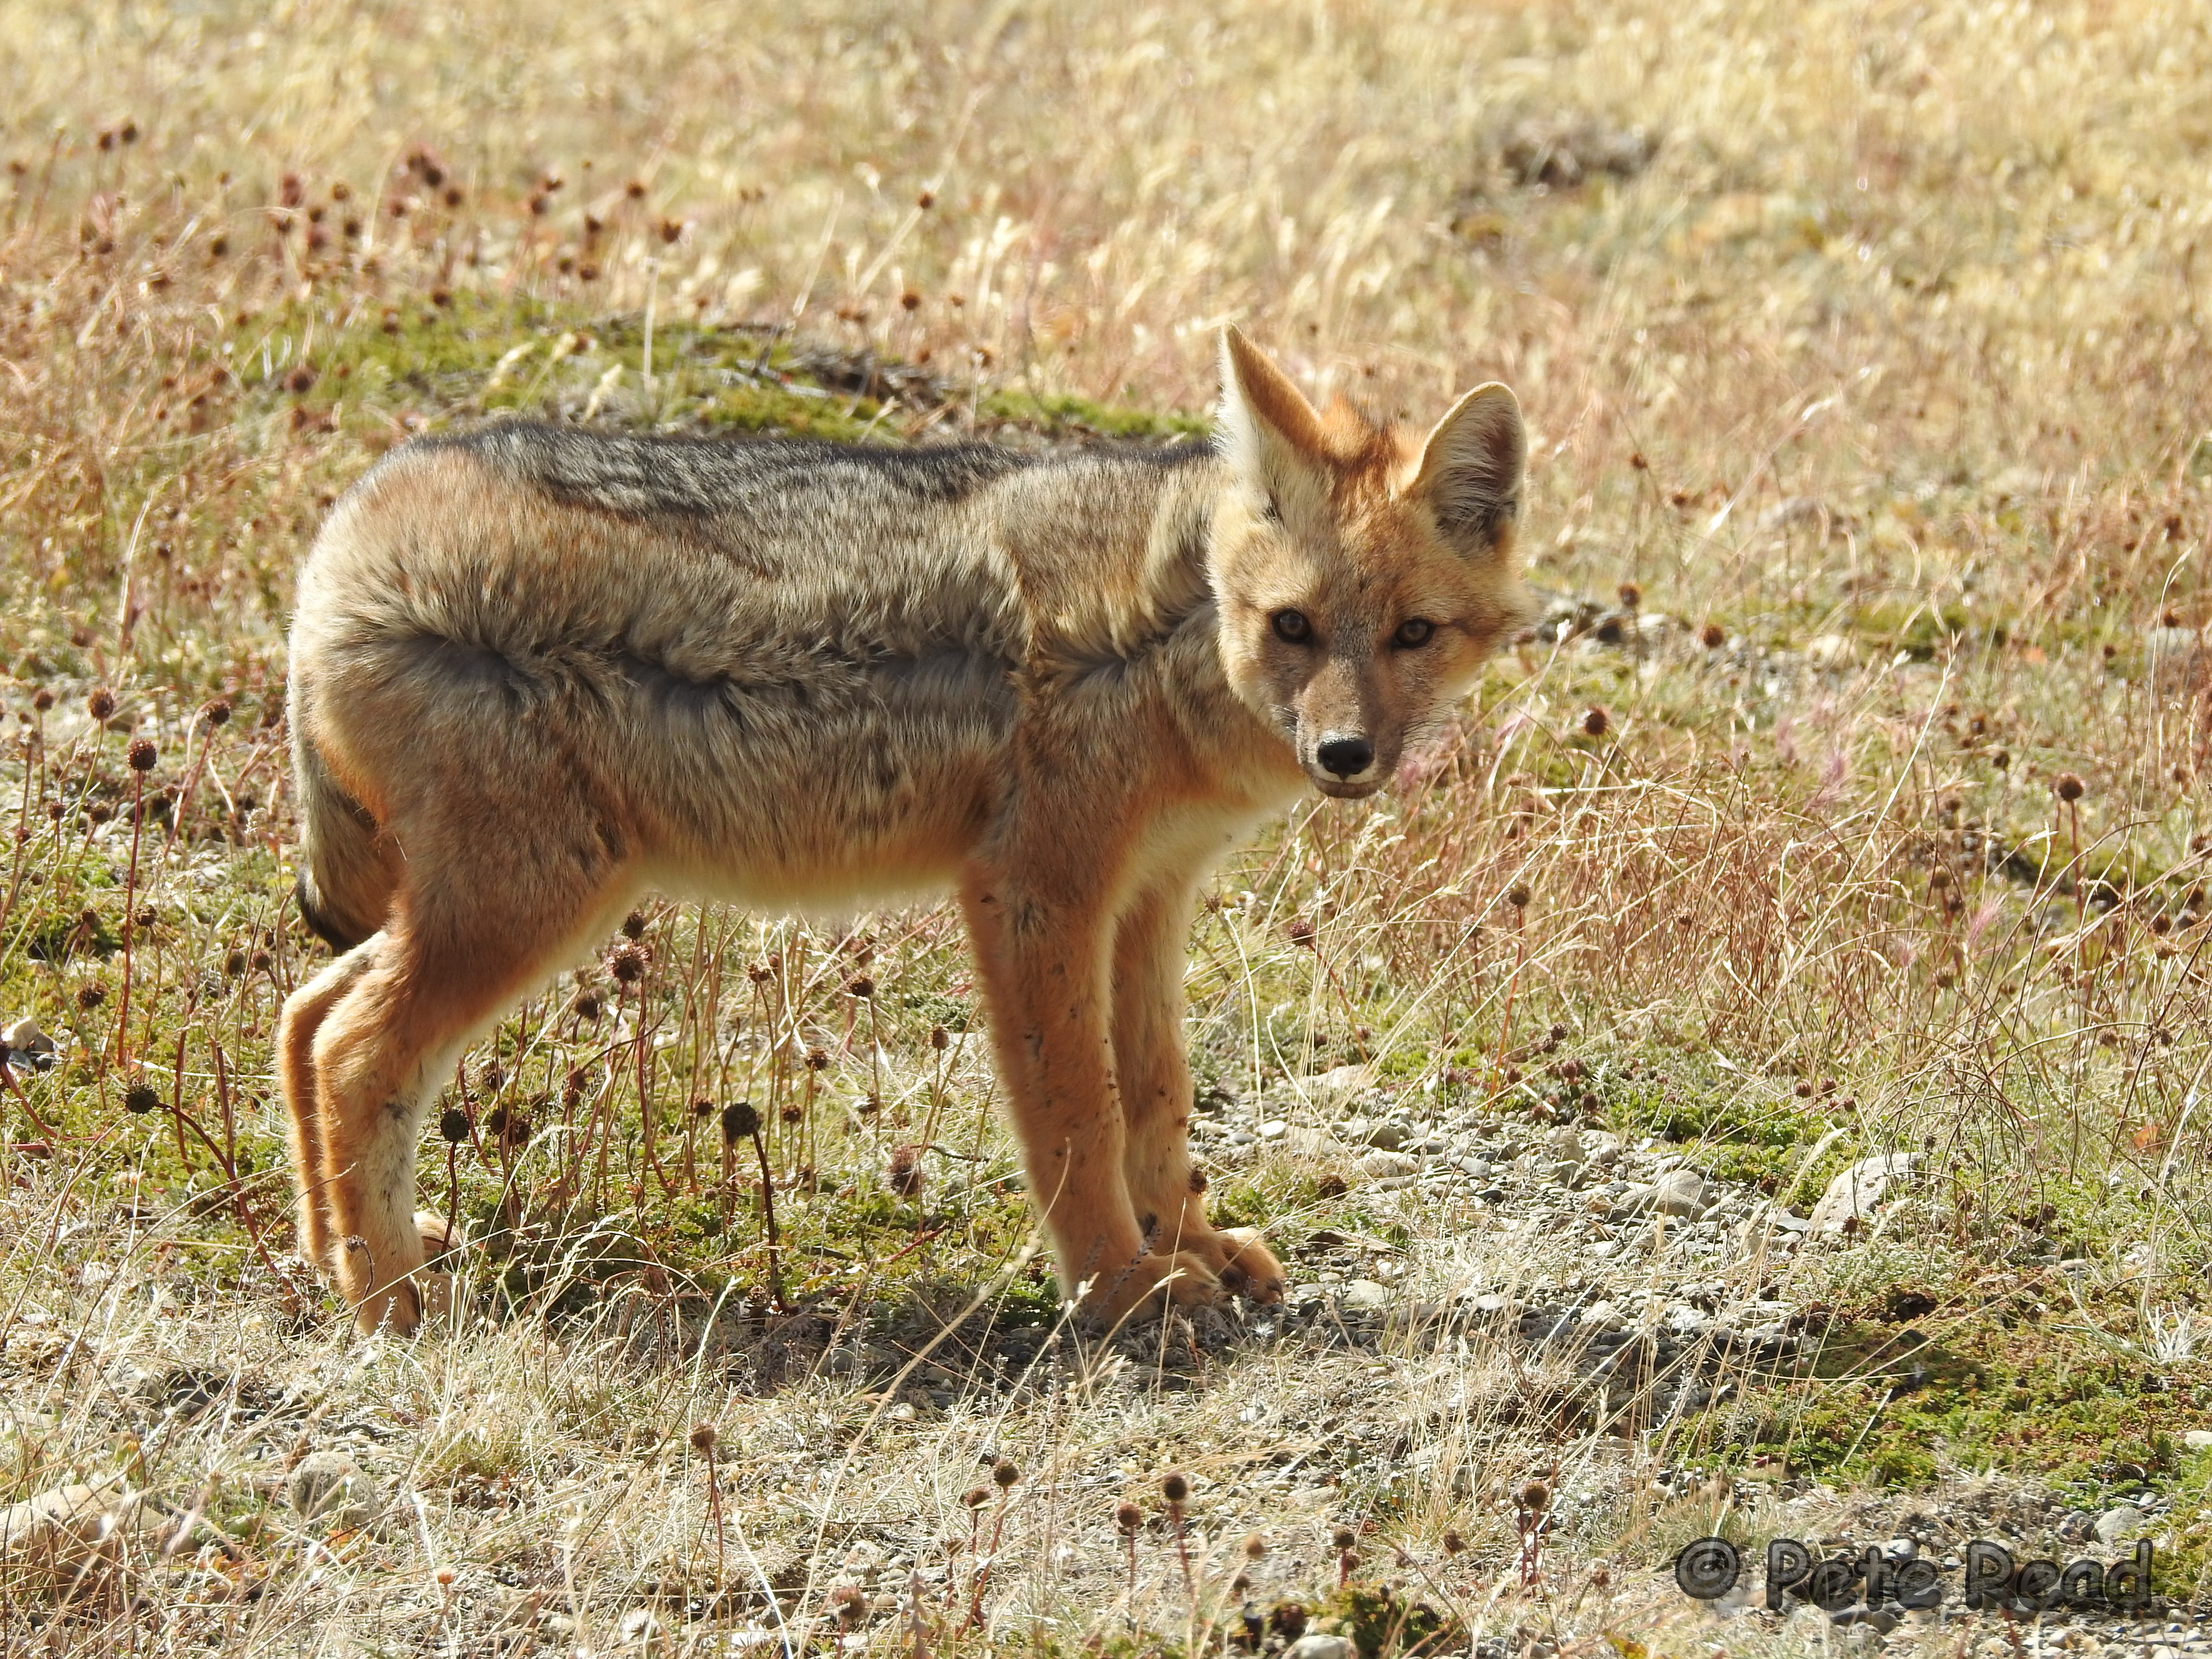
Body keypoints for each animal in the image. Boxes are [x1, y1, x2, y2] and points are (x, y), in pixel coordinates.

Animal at [277, 327, 1533, 1336]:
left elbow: (1157, 1103)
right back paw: (390, 1300)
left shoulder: (1149, 898)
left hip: (494, 903)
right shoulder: (1033, 889)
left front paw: (1192, 1248)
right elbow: (1080, 1117)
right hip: (537, 902)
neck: (1170, 630)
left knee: (305, 1012)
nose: (1345, 756)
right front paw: (1119, 1288)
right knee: (353, 1052)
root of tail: (340, 534)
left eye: (1414, 633)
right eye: (1294, 626)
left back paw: (343, 1254)